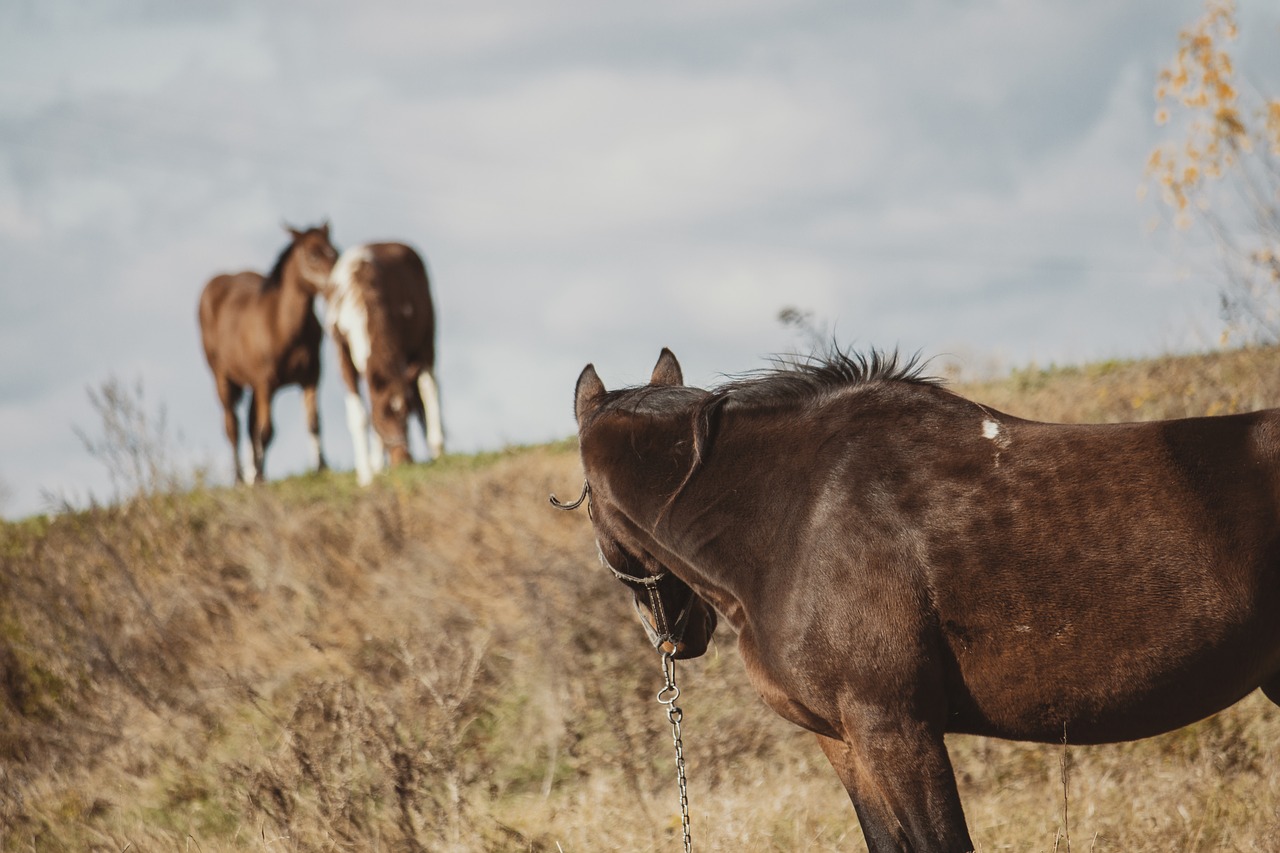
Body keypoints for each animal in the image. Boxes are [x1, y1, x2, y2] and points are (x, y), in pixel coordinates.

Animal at [197, 222, 337, 481]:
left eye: (334, 251)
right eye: (312, 254)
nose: (334, 285)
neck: (285, 329)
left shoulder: (311, 377)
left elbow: (314, 422)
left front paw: (322, 468)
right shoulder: (265, 383)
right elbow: (266, 432)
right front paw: (258, 477)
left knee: (249, 425)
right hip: (222, 377)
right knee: (232, 426)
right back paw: (240, 478)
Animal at [325, 240, 445, 484]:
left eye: (407, 413)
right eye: (382, 415)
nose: (404, 460)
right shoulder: (343, 355)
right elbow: (360, 415)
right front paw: (367, 474)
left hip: (426, 340)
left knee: (429, 387)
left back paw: (436, 448)